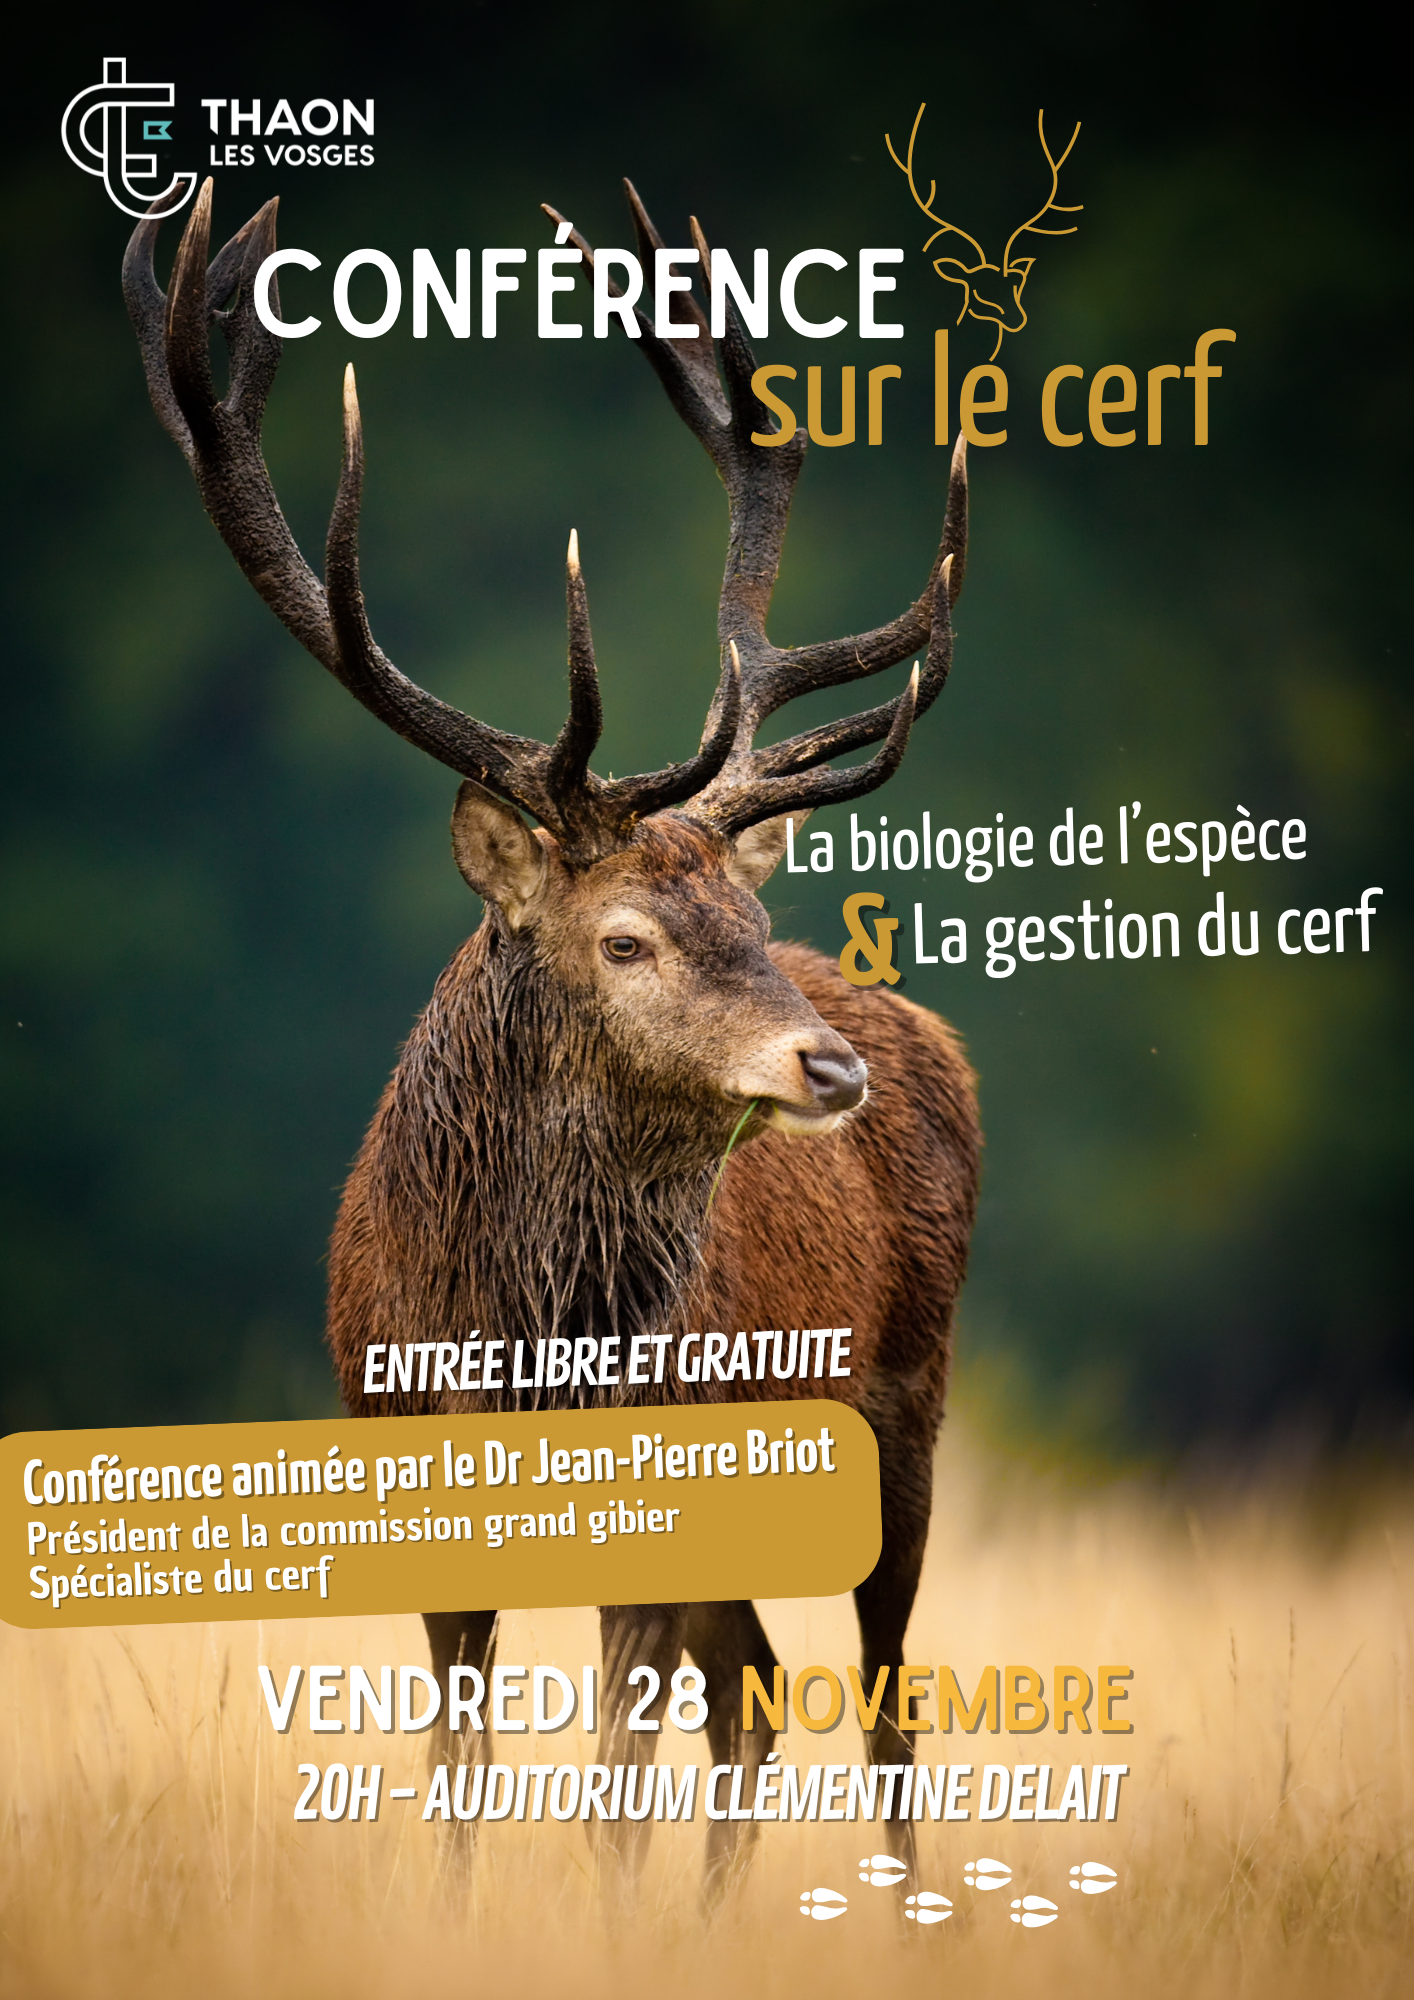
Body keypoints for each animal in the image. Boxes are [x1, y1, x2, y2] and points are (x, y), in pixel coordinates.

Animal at [123, 177, 982, 1901]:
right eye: (625, 938)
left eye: (741, 911)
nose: (827, 1071)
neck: (521, 1351)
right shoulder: (407, 1471)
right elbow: (460, 1778)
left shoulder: (660, 1483)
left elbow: (607, 1789)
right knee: (757, 1692)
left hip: (902, 1406)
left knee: (876, 1697)